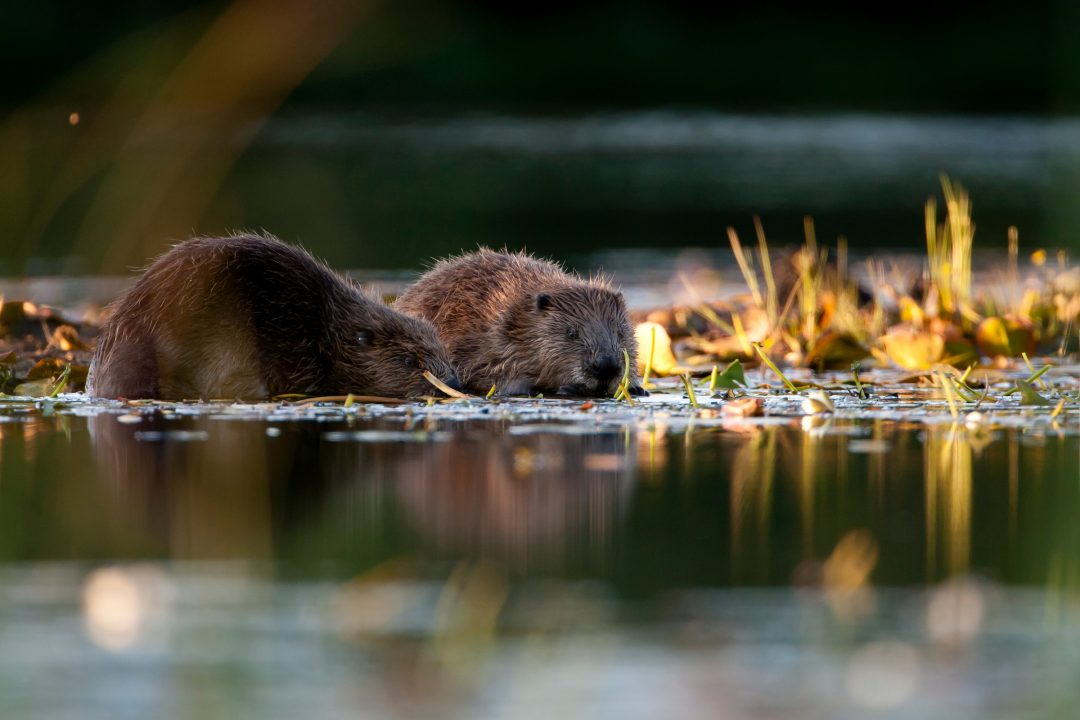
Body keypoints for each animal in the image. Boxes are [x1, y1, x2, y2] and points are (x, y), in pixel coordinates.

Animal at [393, 246, 639, 395]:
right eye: (571, 333)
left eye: (620, 332)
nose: (606, 365)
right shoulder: (481, 341)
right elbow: (488, 375)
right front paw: (566, 387)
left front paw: (636, 388)